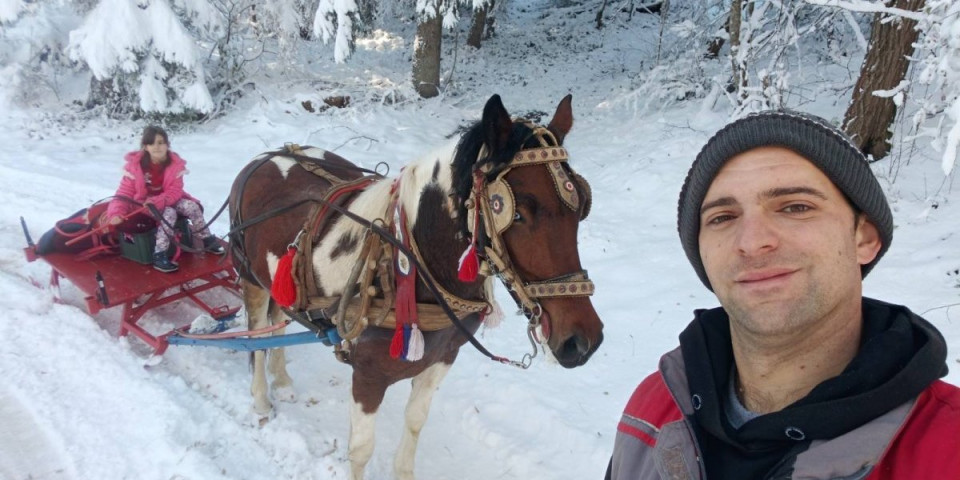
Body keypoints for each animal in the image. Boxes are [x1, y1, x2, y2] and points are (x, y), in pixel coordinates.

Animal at [227, 94, 600, 480]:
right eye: (517, 212)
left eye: (580, 208)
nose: (583, 341)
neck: (414, 263)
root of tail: (266, 157)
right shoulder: (368, 376)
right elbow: (361, 450)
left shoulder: (442, 358)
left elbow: (415, 422)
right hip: (250, 277)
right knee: (257, 333)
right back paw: (261, 398)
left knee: (277, 322)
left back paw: (283, 382)